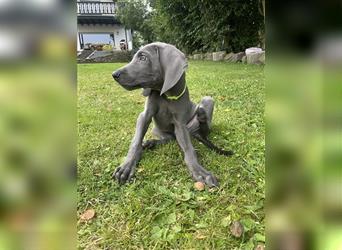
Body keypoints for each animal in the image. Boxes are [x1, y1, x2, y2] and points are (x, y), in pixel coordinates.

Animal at [112, 42, 232, 187]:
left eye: (143, 58)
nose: (114, 74)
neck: (165, 95)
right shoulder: (144, 116)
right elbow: (136, 141)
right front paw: (127, 166)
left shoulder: (180, 125)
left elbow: (188, 149)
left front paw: (199, 171)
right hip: (156, 129)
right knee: (170, 138)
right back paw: (152, 142)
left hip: (207, 101)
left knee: (199, 128)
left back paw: (202, 116)